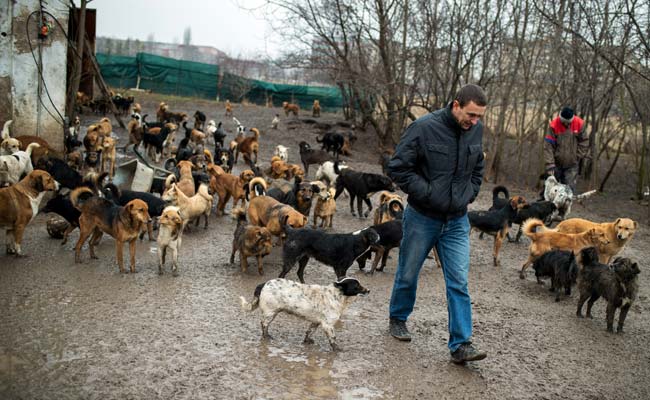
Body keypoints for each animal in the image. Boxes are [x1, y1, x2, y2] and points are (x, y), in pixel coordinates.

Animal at [239, 276, 370, 352]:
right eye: (357, 286)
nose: (368, 290)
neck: (337, 295)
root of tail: (264, 284)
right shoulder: (328, 325)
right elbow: (333, 339)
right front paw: (337, 349)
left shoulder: (316, 322)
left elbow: (309, 332)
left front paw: (307, 341)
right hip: (270, 313)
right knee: (263, 324)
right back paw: (266, 336)